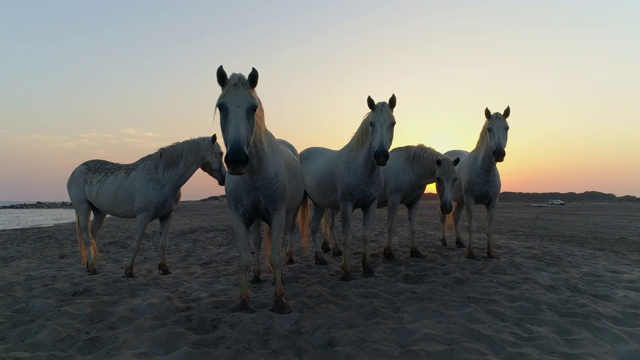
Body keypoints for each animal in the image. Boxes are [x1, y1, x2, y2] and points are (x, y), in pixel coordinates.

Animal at [67, 134, 226, 276]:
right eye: (220, 153)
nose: (224, 178)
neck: (162, 177)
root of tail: (76, 171)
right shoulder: (143, 216)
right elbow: (137, 243)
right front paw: (129, 271)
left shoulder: (167, 216)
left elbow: (163, 243)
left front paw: (164, 269)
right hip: (83, 209)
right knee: (87, 238)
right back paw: (93, 268)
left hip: (100, 213)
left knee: (92, 235)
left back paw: (89, 266)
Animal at [215, 66, 310, 314]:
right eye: (222, 106)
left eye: (253, 107)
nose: (236, 160)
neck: (254, 173)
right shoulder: (238, 218)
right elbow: (245, 258)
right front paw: (244, 300)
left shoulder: (277, 215)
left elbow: (276, 256)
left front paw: (280, 300)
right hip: (258, 218)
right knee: (259, 242)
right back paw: (258, 275)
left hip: (289, 213)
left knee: (285, 240)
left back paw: (282, 274)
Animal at [298, 94, 396, 280]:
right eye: (371, 123)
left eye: (392, 123)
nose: (380, 156)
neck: (363, 169)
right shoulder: (346, 205)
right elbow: (347, 238)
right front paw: (345, 271)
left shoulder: (370, 205)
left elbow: (366, 236)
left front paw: (367, 267)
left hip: (319, 203)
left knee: (313, 226)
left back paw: (319, 258)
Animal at [322, 145, 458, 260]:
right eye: (438, 179)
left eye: (455, 179)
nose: (446, 208)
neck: (411, 169)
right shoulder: (394, 200)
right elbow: (391, 226)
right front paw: (388, 253)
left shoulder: (414, 203)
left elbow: (413, 227)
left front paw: (415, 251)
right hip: (336, 207)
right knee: (331, 224)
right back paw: (336, 250)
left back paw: (326, 247)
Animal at [442, 105, 512, 258]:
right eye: (489, 129)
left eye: (507, 128)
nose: (499, 153)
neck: (485, 171)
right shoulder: (470, 200)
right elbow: (471, 227)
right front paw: (471, 252)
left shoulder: (492, 202)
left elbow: (489, 228)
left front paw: (490, 252)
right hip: (447, 197)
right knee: (443, 216)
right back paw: (444, 241)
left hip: (460, 201)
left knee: (455, 217)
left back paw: (459, 242)